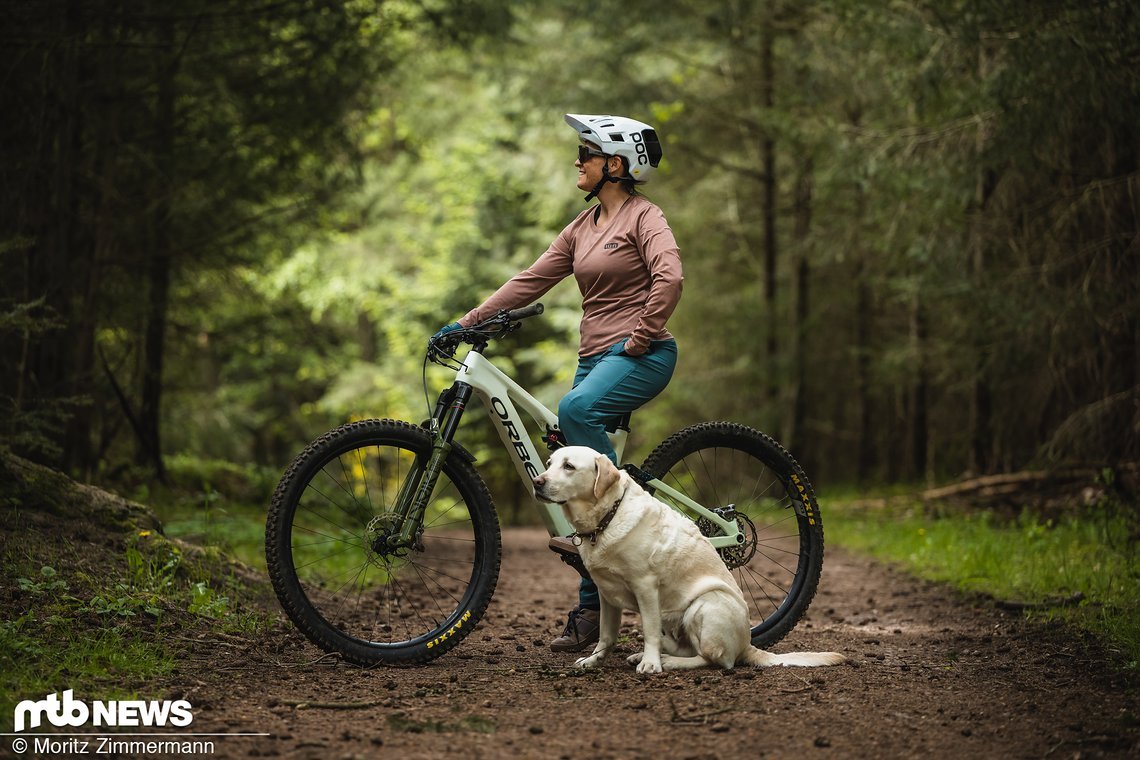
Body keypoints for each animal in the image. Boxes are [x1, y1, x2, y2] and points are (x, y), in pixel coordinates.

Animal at [528, 446, 843, 669]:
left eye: (569, 466)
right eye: (549, 464)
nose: (537, 481)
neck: (608, 516)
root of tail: (747, 643)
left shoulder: (645, 585)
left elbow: (649, 628)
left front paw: (651, 664)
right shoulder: (606, 593)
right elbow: (606, 634)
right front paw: (594, 660)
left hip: (703, 604)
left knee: (714, 659)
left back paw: (666, 661)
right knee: (688, 647)